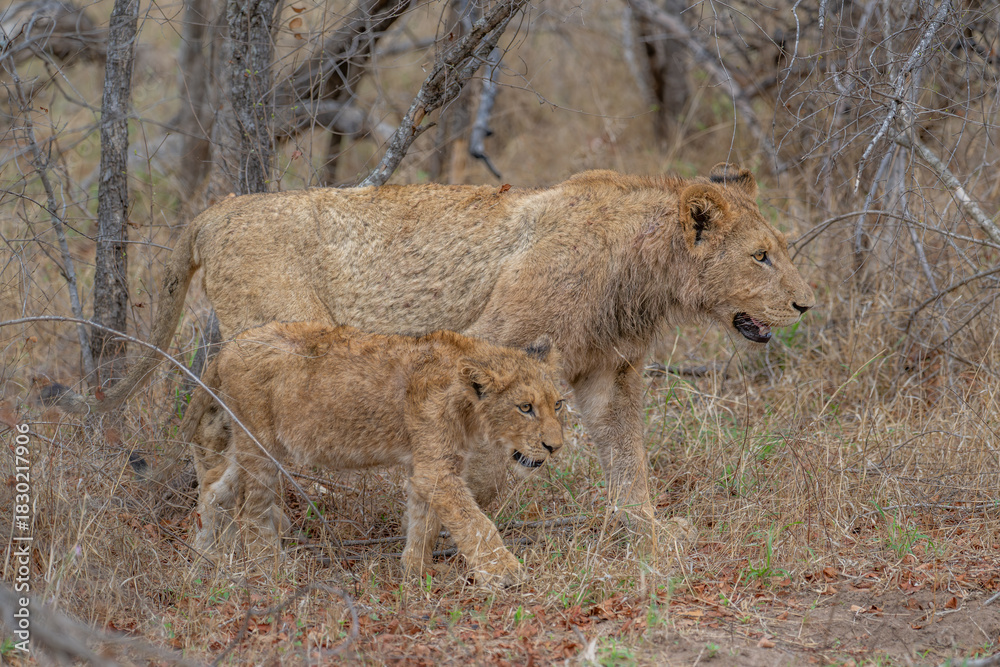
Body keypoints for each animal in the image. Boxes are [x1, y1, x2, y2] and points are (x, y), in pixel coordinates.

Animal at [58, 163, 814, 541]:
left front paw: (651, 534)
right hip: (285, 338)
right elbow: (491, 454)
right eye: (761, 257)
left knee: (209, 426)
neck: (644, 273)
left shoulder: (609, 377)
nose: (808, 305)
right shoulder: (502, 339)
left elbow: (628, 461)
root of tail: (219, 209)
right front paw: (465, 523)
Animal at [190, 321, 565, 587]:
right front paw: (505, 572)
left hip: (250, 442)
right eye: (525, 408)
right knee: (250, 508)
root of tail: (227, 348)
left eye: (557, 404)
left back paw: (206, 554)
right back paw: (270, 567)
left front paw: (417, 573)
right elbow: (476, 523)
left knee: (214, 485)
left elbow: (424, 522)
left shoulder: (425, 464)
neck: (469, 407)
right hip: (260, 442)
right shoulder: (437, 470)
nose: (555, 446)